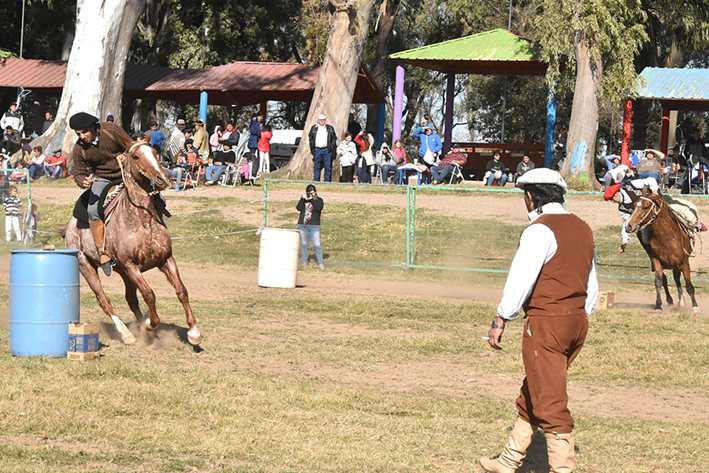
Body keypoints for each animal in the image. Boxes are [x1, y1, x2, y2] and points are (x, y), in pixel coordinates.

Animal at [63, 140, 203, 342]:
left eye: (155, 152)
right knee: (103, 299)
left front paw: (193, 332)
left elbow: (181, 291)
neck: (142, 221)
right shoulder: (131, 266)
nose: (162, 178)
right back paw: (126, 333)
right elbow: (149, 294)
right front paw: (150, 324)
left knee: (131, 299)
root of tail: (69, 226)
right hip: (86, 265)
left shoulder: (166, 260)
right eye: (136, 156)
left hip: (123, 273)